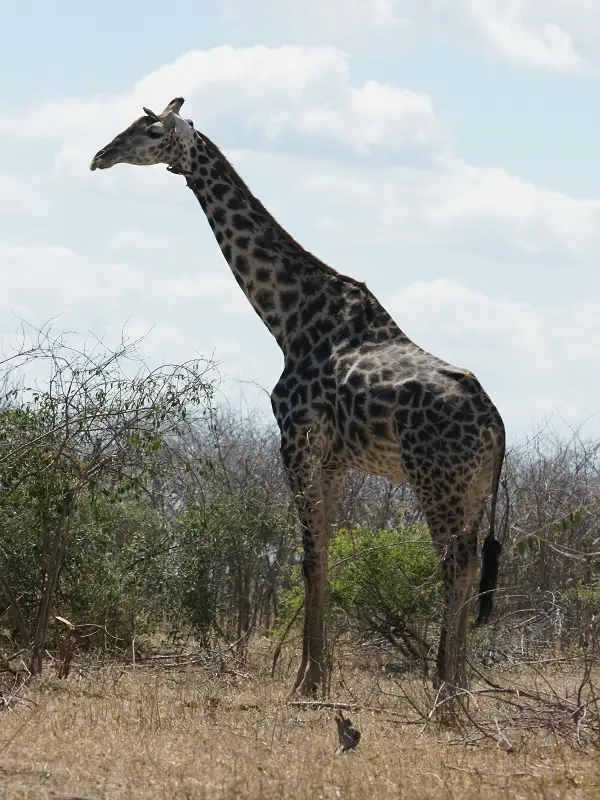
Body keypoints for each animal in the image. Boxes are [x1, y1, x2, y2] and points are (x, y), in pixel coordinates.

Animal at [90, 97, 506, 697]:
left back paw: (444, 695)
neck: (288, 319)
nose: (100, 156)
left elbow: (307, 558)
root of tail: (496, 425)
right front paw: (320, 677)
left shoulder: (296, 439)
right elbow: (325, 555)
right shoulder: (334, 459)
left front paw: (305, 683)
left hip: (437, 480)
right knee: (471, 567)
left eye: (149, 131)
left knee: (454, 564)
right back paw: (461, 690)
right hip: (471, 488)